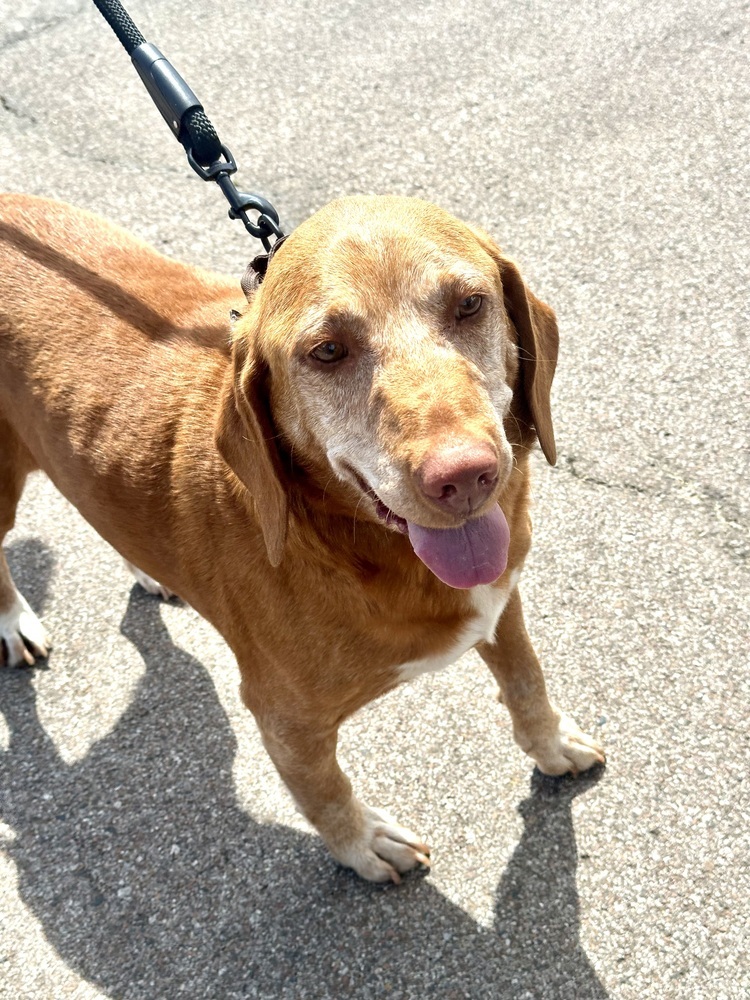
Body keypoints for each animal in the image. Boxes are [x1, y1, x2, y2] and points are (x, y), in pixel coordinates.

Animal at [0, 195, 604, 884]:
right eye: (328, 351)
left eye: (470, 305)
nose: (465, 477)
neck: (355, 545)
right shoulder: (283, 719)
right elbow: (325, 793)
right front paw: (362, 845)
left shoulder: (501, 605)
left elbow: (527, 680)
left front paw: (551, 744)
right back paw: (15, 623)